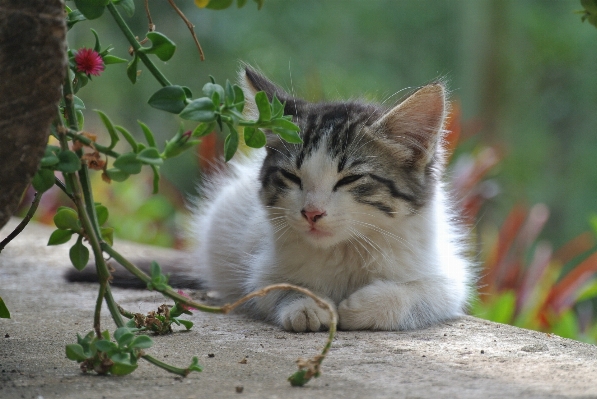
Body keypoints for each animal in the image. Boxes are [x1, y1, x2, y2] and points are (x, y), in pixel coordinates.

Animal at [189, 68, 472, 332]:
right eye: (291, 176)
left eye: (350, 179)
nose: (311, 213)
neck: (346, 248)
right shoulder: (262, 269)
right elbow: (276, 287)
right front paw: (307, 305)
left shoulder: (448, 278)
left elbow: (420, 292)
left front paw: (359, 307)